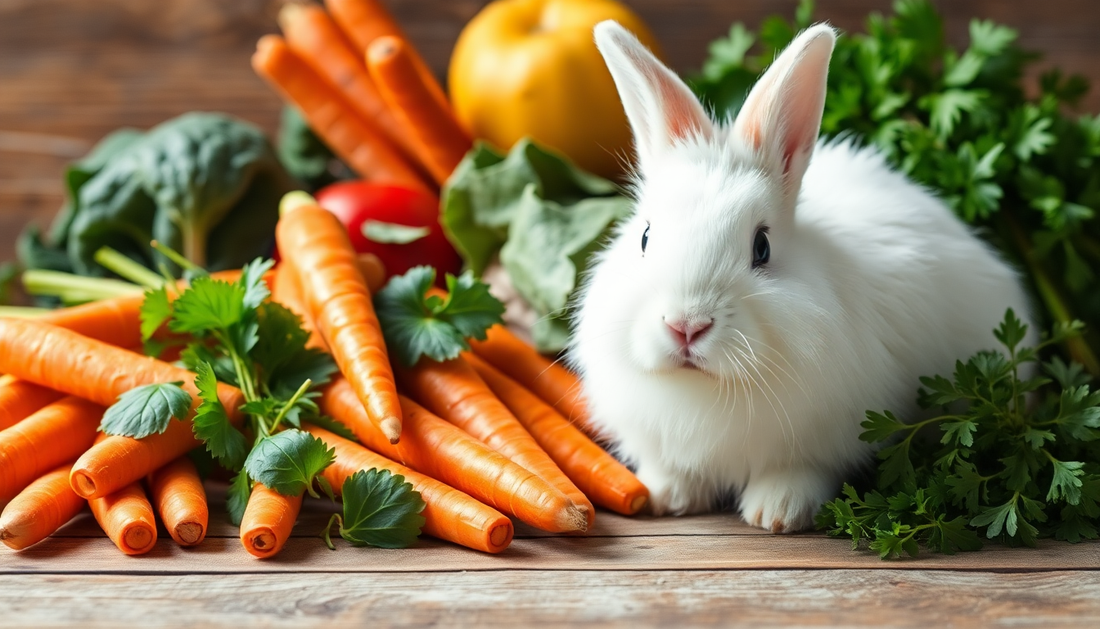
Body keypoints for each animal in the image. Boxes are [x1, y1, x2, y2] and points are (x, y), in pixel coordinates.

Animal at [568, 21, 1035, 533]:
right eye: (646, 237)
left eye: (762, 247)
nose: (685, 325)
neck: (705, 389)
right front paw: (663, 497)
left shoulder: (822, 439)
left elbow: (800, 470)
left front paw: (776, 513)